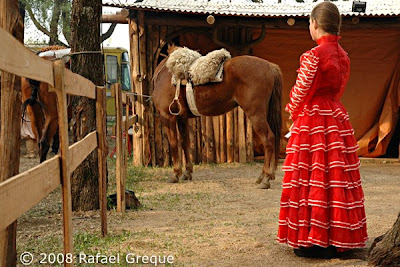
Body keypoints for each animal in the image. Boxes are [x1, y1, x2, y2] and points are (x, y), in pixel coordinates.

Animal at [152, 48, 282, 191]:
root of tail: (269, 66)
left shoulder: (167, 117)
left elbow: (174, 144)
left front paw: (175, 174)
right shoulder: (182, 119)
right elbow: (185, 143)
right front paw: (187, 173)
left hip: (256, 114)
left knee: (268, 139)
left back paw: (265, 178)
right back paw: (266, 176)